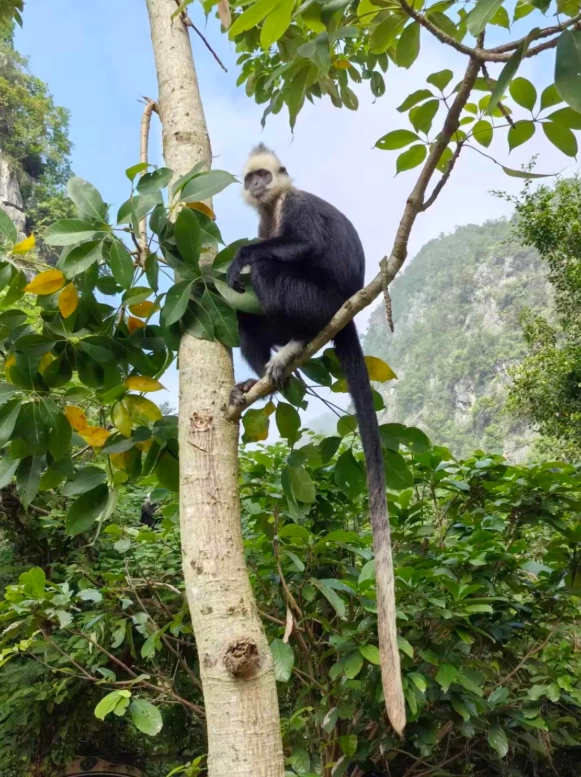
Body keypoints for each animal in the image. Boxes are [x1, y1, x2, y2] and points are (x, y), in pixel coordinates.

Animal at [226, 144, 406, 735]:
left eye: (265, 175)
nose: (258, 186)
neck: (273, 205)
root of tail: (343, 313)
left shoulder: (293, 207)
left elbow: (298, 244)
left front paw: (240, 252)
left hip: (316, 303)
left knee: (268, 271)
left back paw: (292, 338)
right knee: (248, 309)